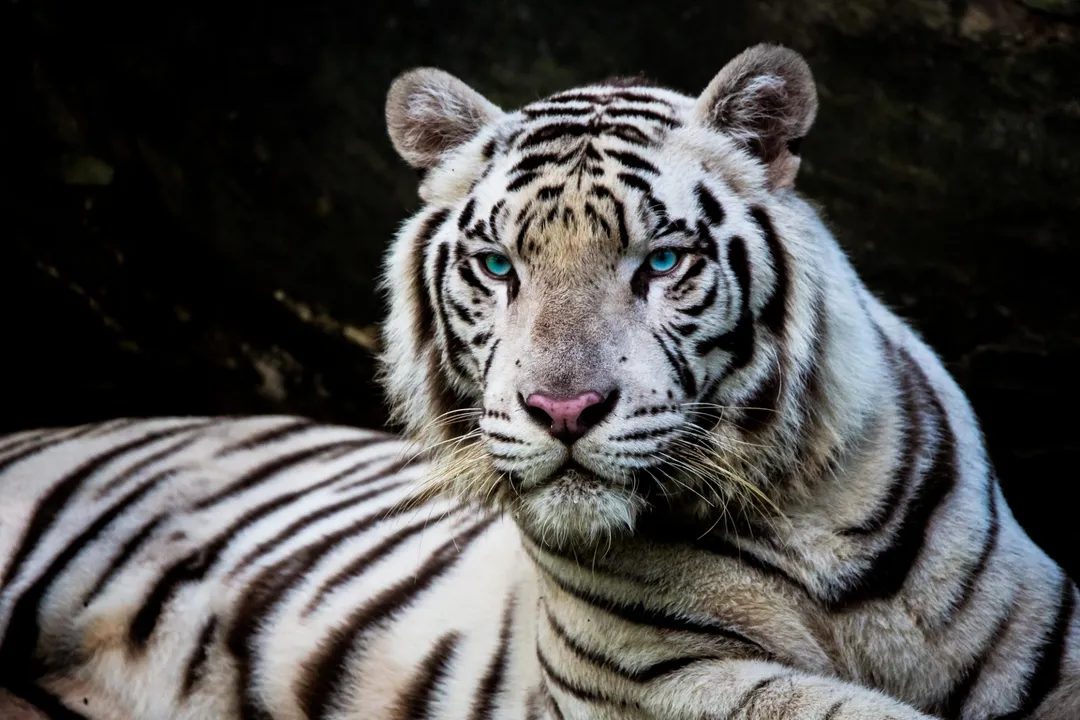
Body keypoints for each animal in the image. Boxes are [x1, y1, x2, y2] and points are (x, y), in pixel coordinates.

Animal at [0, 42, 1077, 720]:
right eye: (497, 267)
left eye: (660, 261)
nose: (563, 410)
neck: (794, 513)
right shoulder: (655, 683)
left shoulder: (1035, 646)